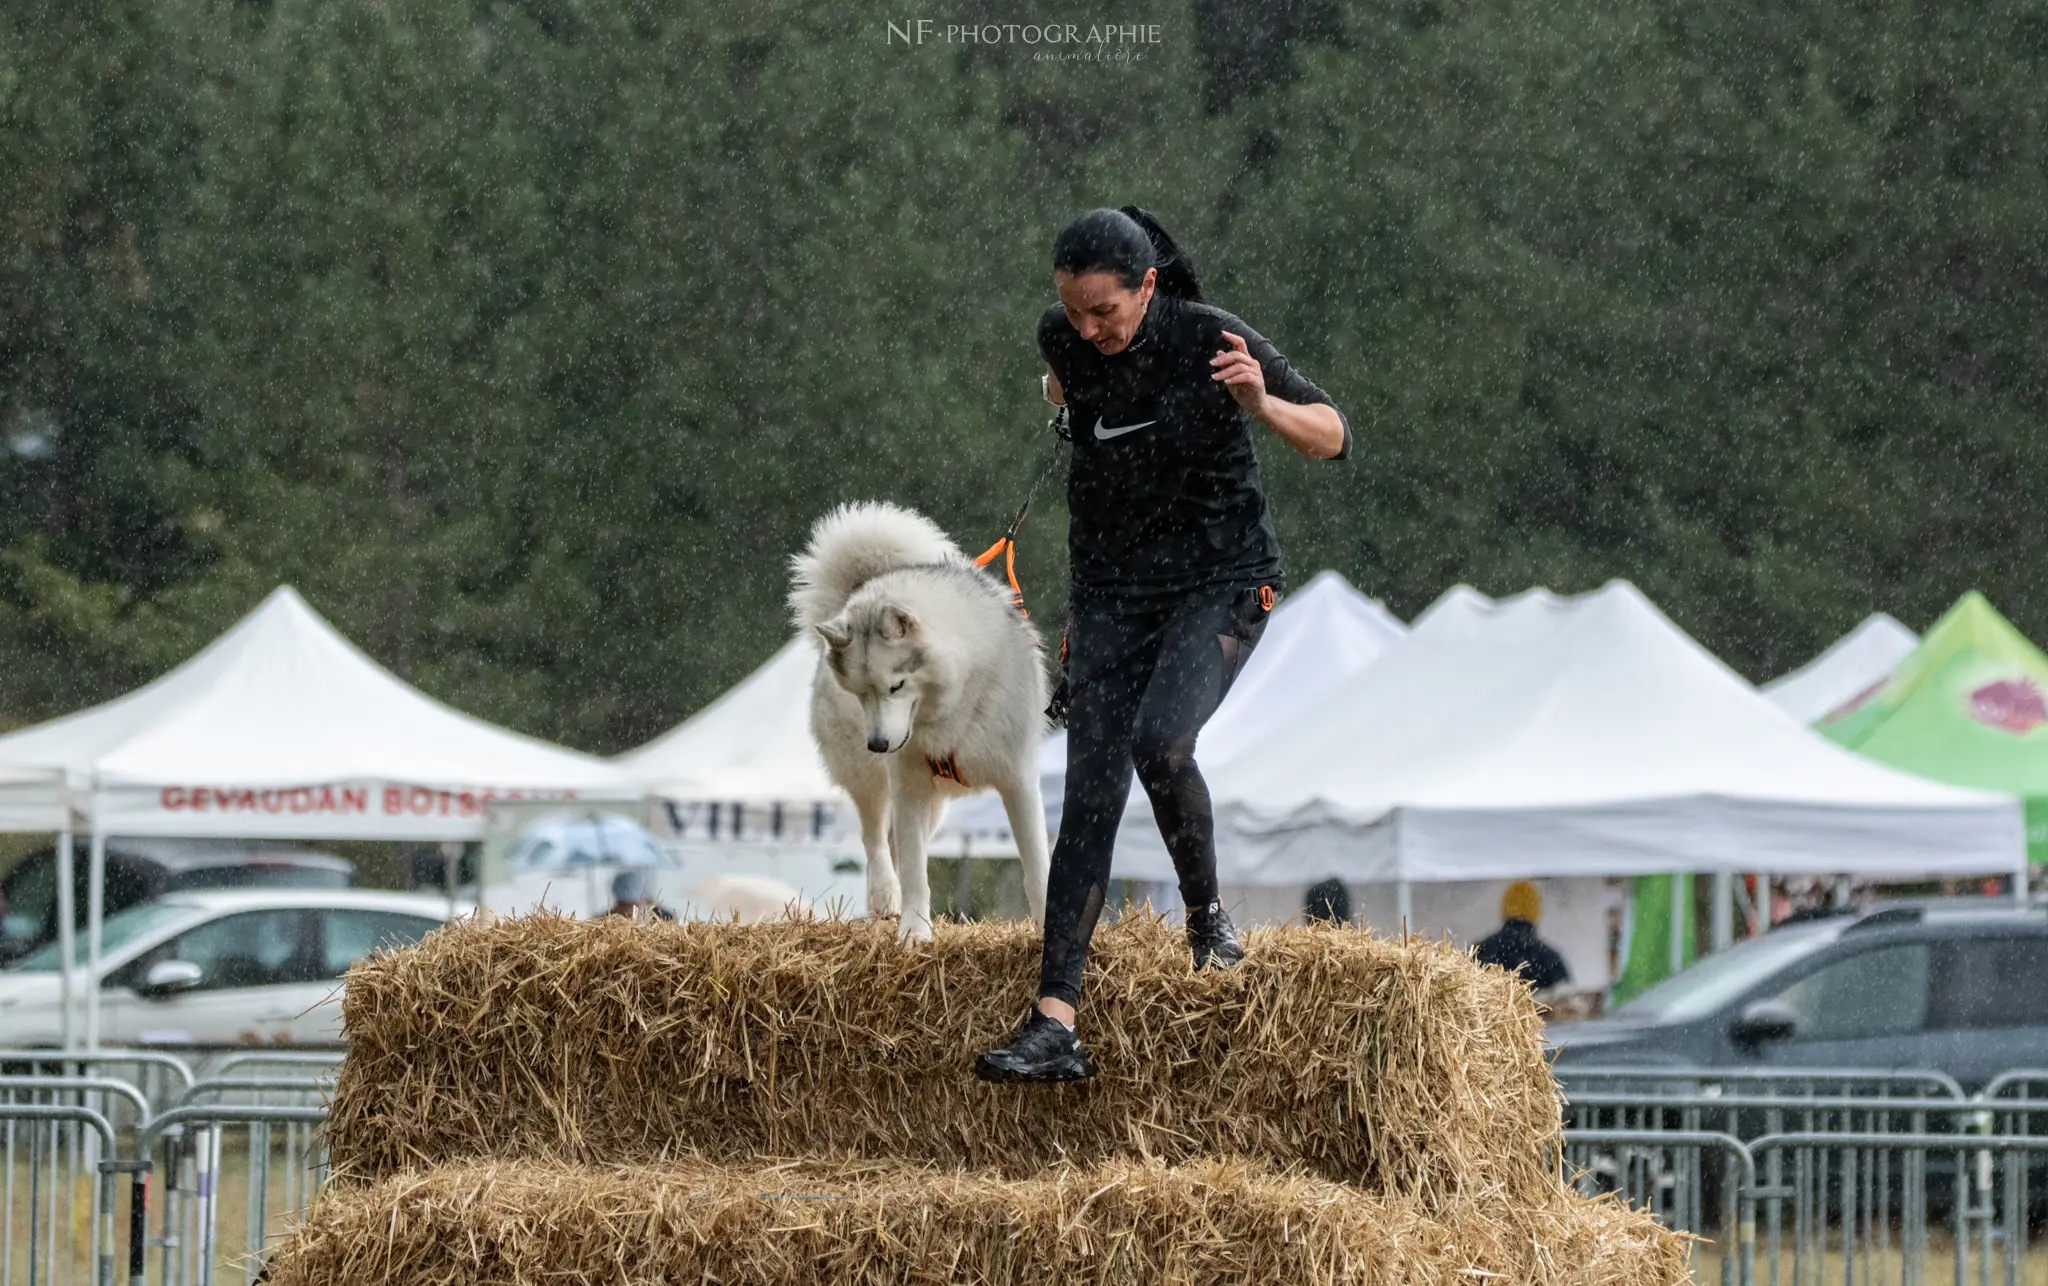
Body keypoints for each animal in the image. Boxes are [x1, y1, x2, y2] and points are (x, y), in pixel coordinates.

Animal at [790, 501, 1056, 946]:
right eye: (860, 693)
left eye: (896, 686)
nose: (879, 744)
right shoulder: (908, 782)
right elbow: (916, 873)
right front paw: (914, 932)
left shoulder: (1018, 782)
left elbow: (1037, 868)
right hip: (870, 781)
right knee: (876, 839)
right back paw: (884, 895)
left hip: (931, 804)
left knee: (893, 841)